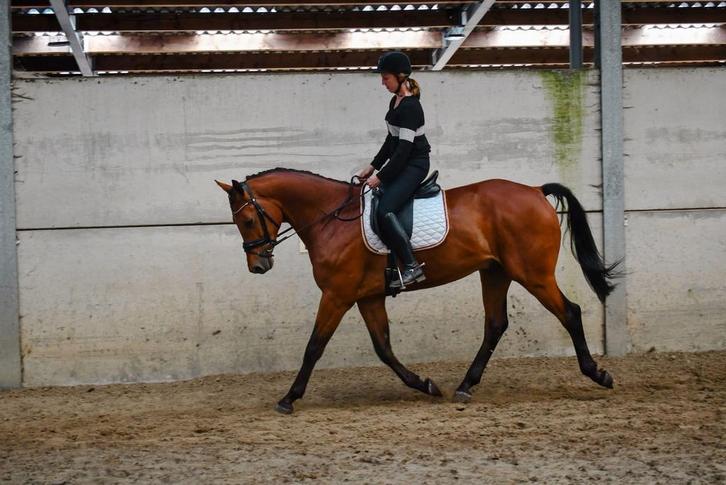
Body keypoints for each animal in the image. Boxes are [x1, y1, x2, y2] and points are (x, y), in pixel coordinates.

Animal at [215, 168, 619, 414]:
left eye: (247, 219)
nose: (258, 266)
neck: (330, 219)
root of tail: (535, 192)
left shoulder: (337, 295)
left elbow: (314, 346)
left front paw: (288, 398)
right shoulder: (367, 297)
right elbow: (383, 348)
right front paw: (425, 384)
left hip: (532, 274)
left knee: (569, 312)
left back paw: (598, 374)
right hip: (495, 273)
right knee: (495, 325)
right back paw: (465, 385)